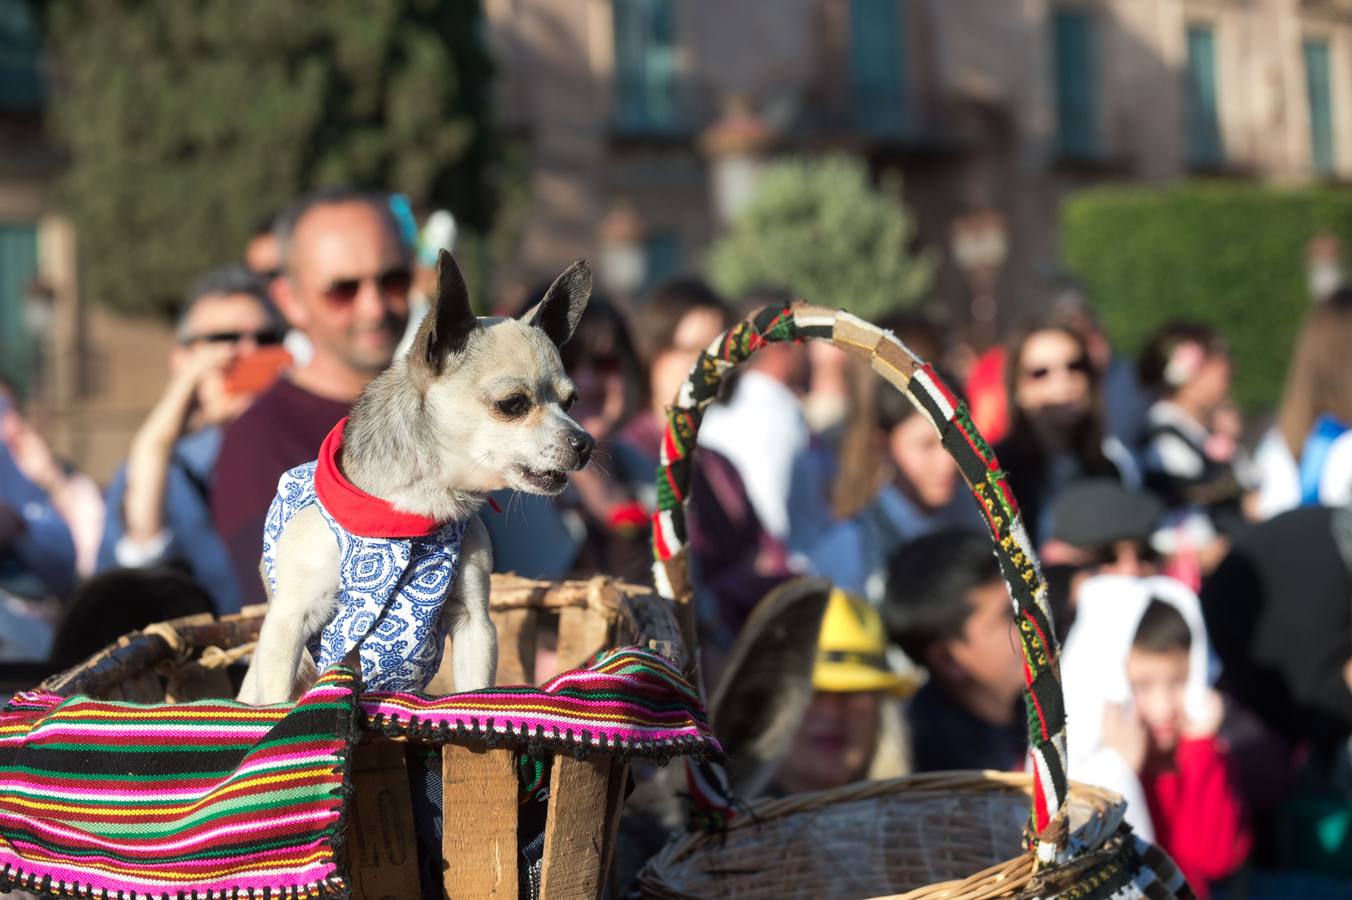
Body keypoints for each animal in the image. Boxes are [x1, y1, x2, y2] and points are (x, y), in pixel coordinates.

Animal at [240, 250, 589, 702]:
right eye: (512, 404)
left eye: (572, 402)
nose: (586, 442)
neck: (416, 512)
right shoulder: (288, 626)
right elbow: (278, 703)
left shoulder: (476, 625)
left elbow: (476, 688)